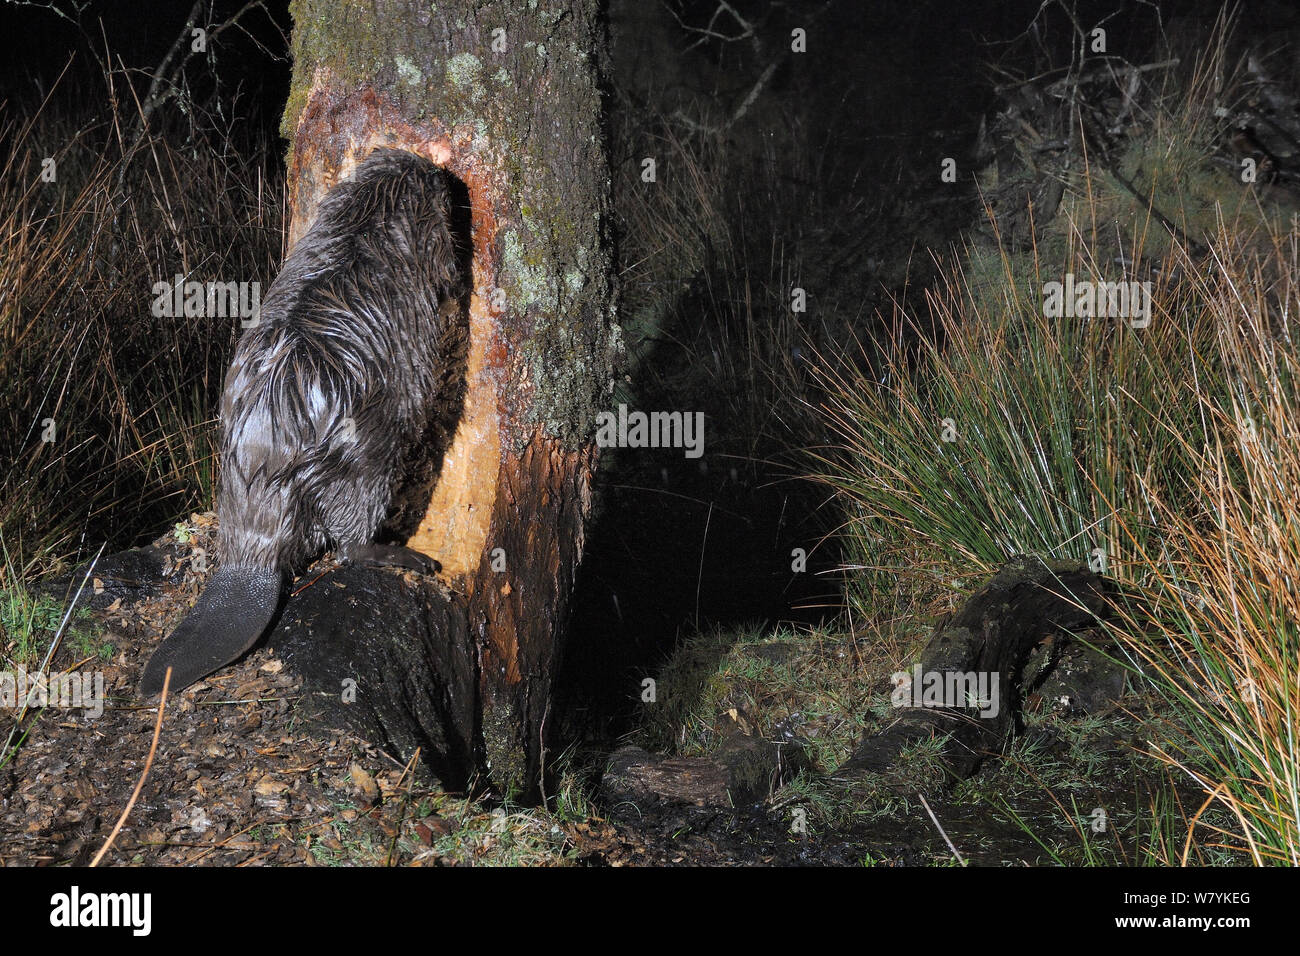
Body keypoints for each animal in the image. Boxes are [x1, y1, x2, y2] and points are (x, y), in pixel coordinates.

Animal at [141, 147, 467, 697]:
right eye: (426, 178)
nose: (434, 168)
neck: (365, 216)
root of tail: (247, 564)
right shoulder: (424, 237)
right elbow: (446, 271)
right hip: (366, 461)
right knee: (351, 542)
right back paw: (407, 557)